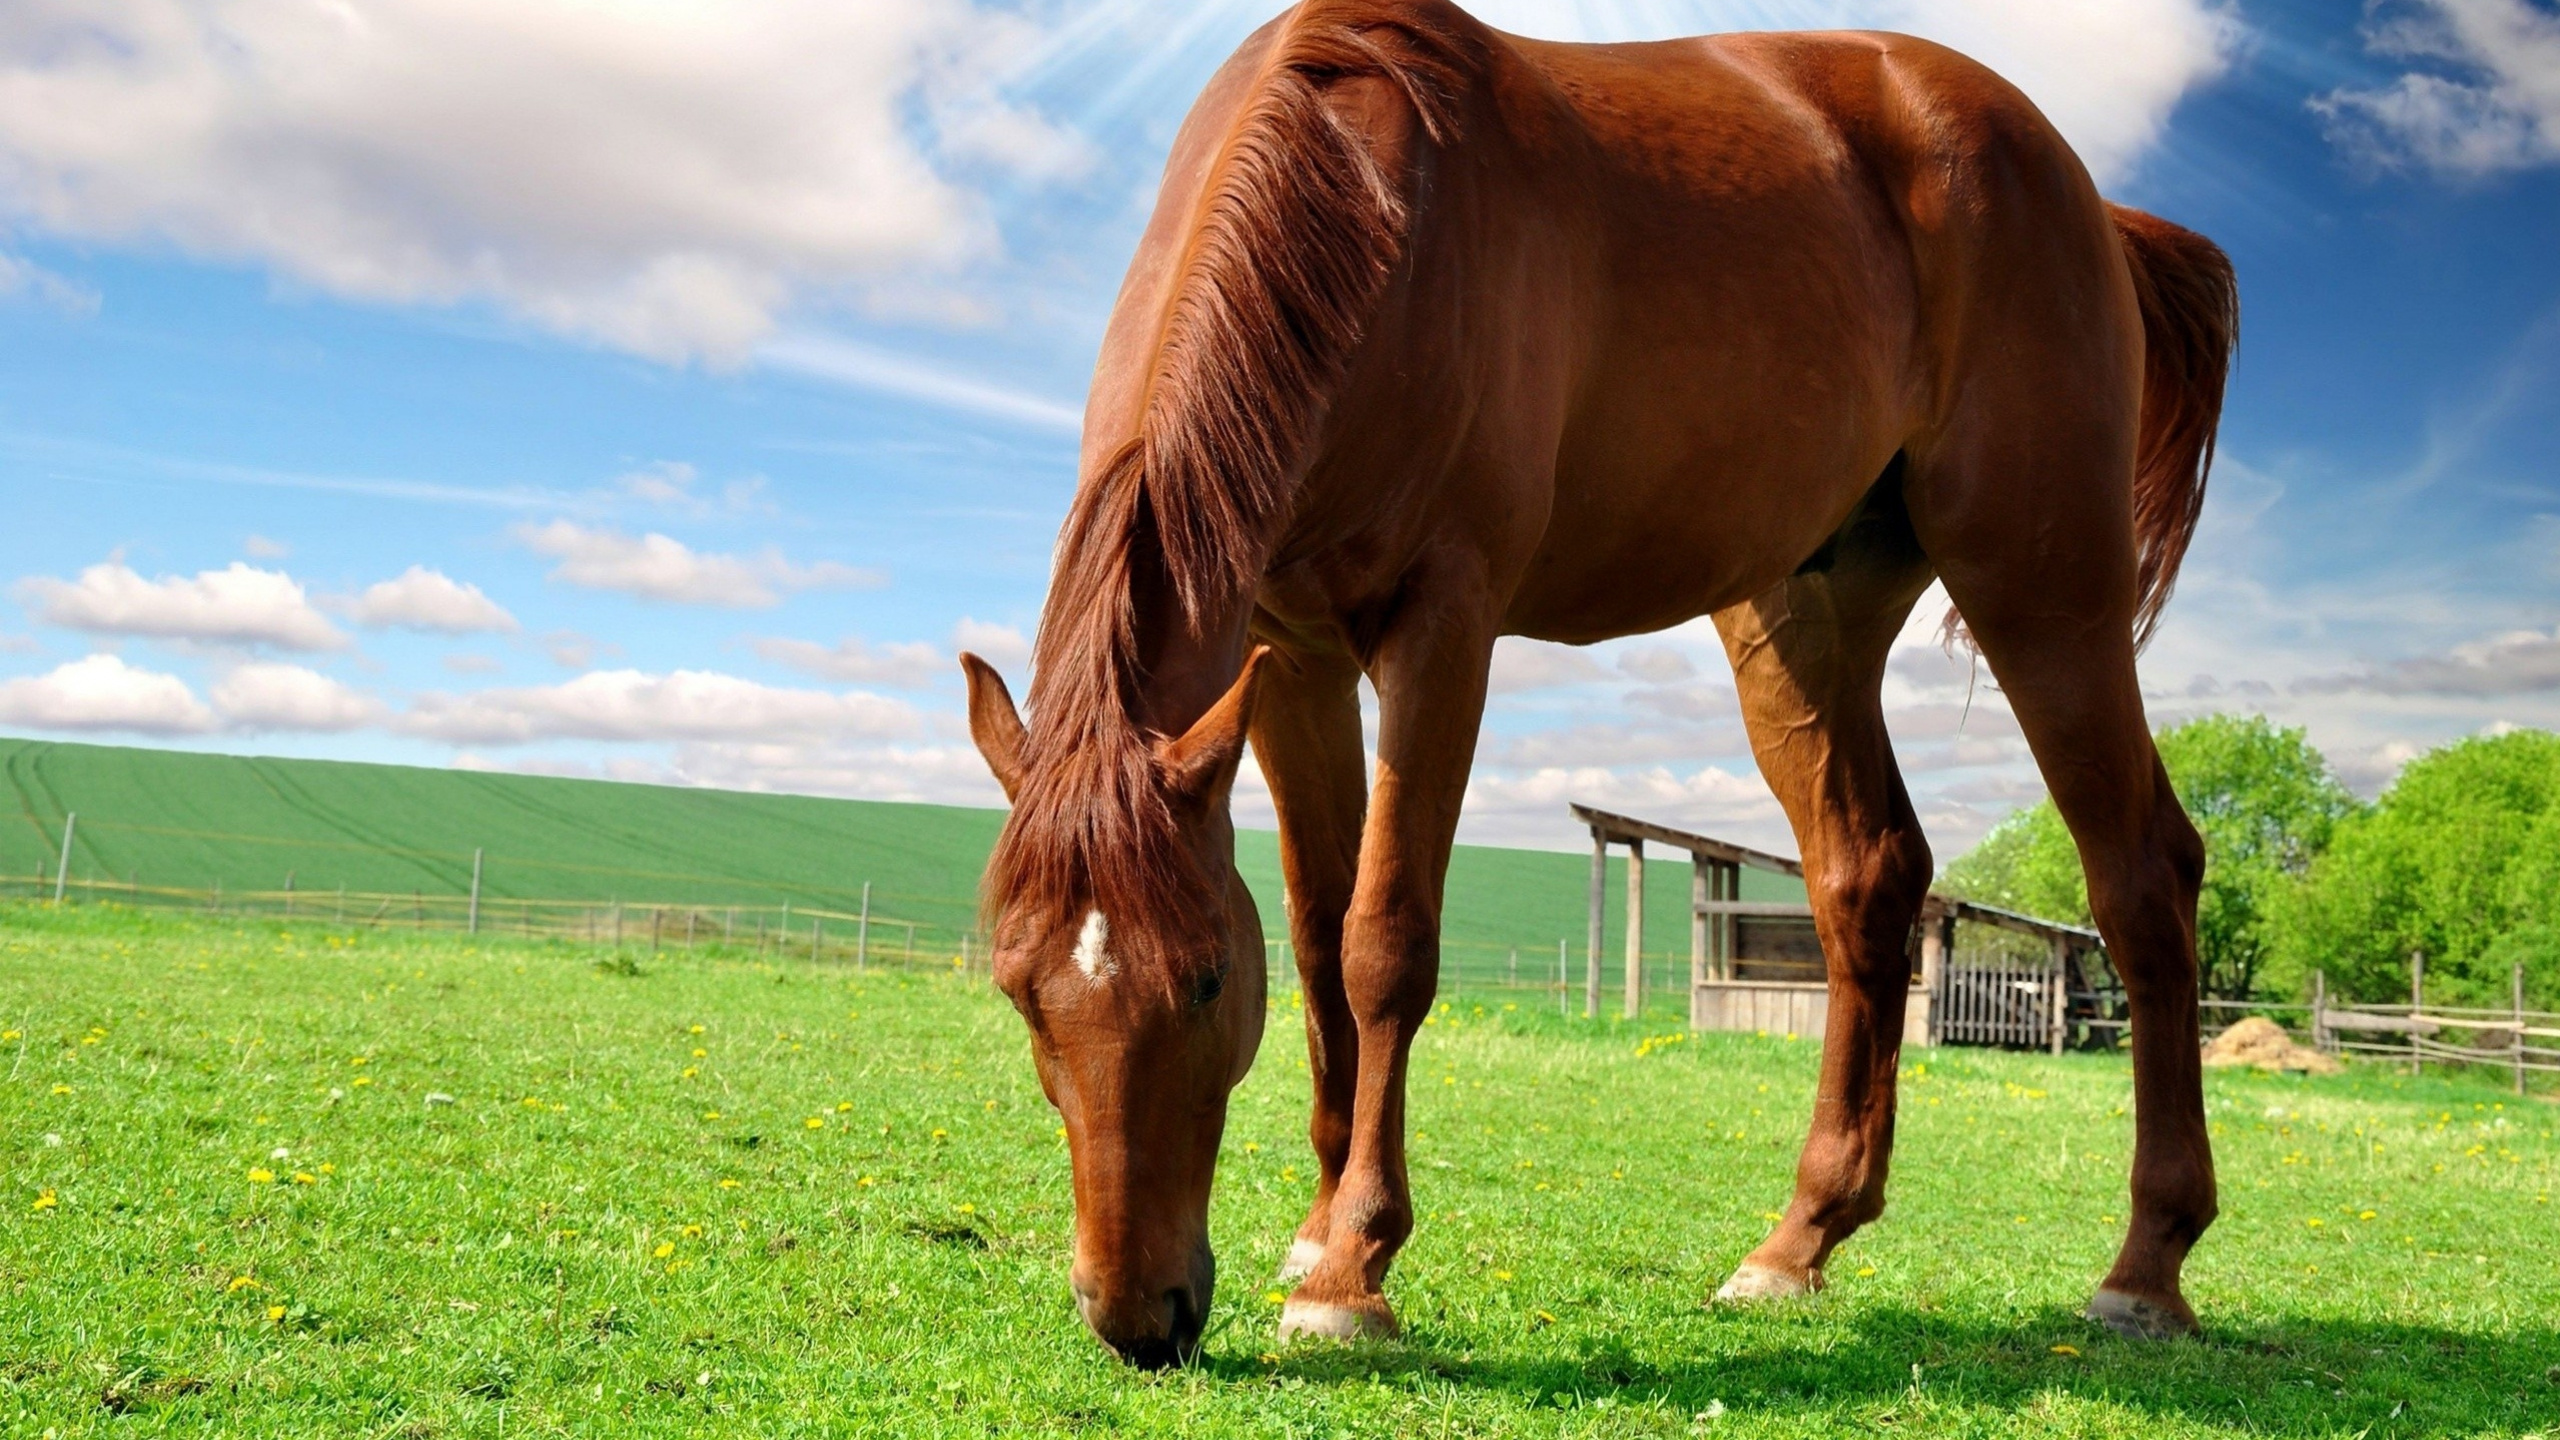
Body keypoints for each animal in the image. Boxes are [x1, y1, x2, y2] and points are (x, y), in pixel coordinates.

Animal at [952, 0, 2232, 1363]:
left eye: (1200, 978)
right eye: (1018, 989)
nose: (1137, 1316)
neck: (1376, 219)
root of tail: (2087, 199)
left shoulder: (1442, 626)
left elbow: (1381, 943)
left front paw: (1350, 1269)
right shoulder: (1288, 655)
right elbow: (1312, 941)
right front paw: (1314, 1225)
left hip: (2044, 588)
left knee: (2143, 876)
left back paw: (2146, 1266)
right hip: (1804, 618)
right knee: (1867, 877)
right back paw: (1798, 1241)